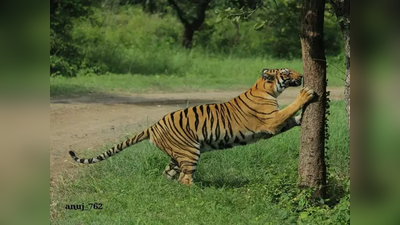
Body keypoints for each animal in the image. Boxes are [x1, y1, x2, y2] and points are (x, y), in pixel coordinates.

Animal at [69, 68, 316, 185]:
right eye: (286, 72)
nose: (303, 75)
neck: (268, 90)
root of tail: (153, 126)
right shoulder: (271, 121)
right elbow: (290, 109)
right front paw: (307, 94)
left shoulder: (273, 125)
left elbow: (292, 119)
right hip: (190, 151)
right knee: (185, 179)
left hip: (176, 155)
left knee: (169, 173)